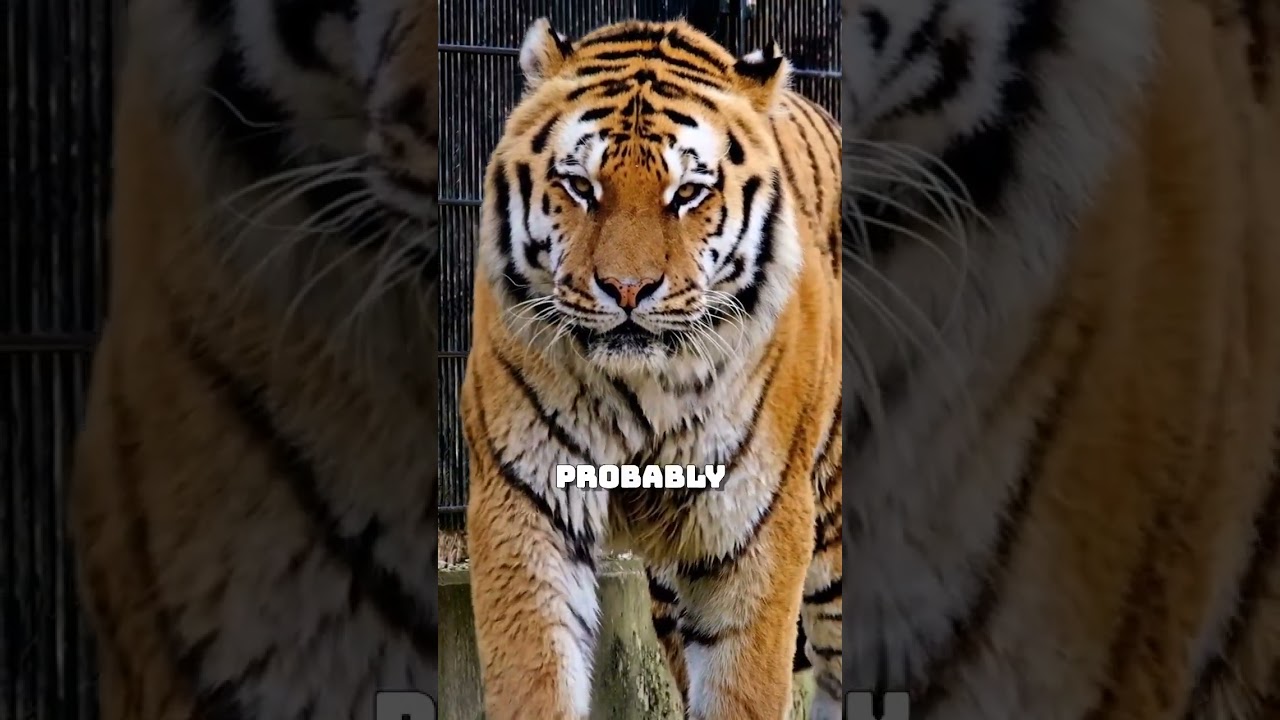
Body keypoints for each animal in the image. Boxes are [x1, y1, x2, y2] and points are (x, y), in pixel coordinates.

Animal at [459, 17, 843, 720]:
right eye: (581, 186)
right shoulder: (526, 500)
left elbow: (744, 685)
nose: (627, 289)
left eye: (687, 194)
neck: (641, 391)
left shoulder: (758, 520)